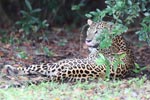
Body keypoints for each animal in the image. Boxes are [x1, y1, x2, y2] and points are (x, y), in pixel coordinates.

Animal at [3, 19, 135, 83]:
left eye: (98, 32)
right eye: (89, 30)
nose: (87, 40)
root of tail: (66, 73)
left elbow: (36, 66)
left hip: (61, 64)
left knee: (40, 69)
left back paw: (12, 71)